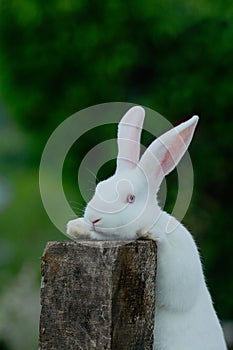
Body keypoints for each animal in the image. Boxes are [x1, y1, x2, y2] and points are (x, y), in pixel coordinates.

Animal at [66, 105, 227, 348]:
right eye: (100, 187)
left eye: (131, 198)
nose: (95, 218)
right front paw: (76, 227)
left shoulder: (180, 267)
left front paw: (151, 233)